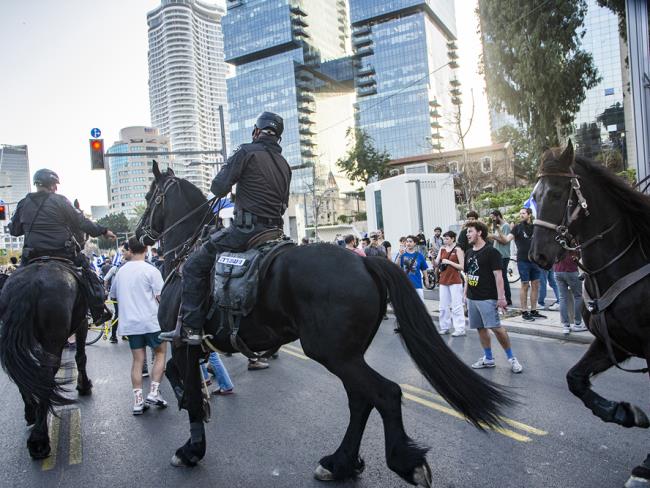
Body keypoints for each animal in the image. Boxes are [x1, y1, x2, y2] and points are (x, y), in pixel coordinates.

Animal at [135, 162, 512, 486]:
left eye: (150, 196)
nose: (137, 237)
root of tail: (365, 263)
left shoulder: (183, 341)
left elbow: (186, 389)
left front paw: (190, 448)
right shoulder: (195, 346)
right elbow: (177, 377)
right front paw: (192, 406)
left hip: (332, 353)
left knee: (385, 394)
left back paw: (404, 462)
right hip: (346, 355)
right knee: (361, 400)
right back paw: (341, 463)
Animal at [528, 141, 648, 488]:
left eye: (557, 194)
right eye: (534, 195)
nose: (537, 255)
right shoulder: (614, 343)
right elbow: (575, 380)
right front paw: (623, 412)